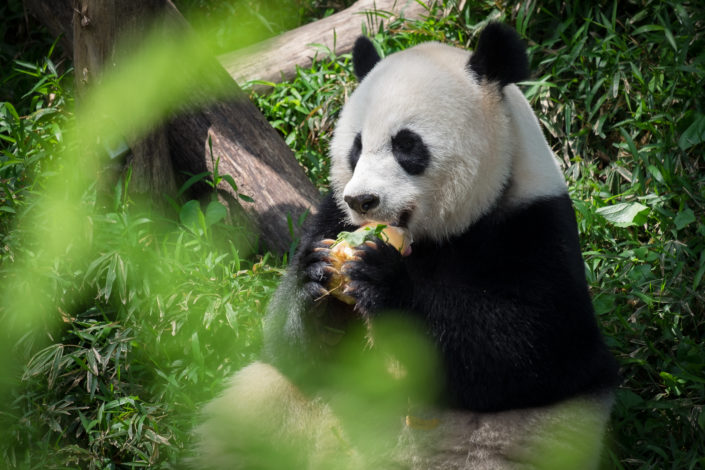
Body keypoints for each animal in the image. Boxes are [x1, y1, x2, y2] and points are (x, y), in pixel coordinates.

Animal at [194, 22, 619, 470]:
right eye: (356, 147)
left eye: (407, 144)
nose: (362, 200)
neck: (433, 239)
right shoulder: (330, 214)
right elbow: (283, 342)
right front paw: (316, 278)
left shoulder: (536, 224)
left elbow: (536, 346)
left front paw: (383, 279)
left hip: (526, 439)